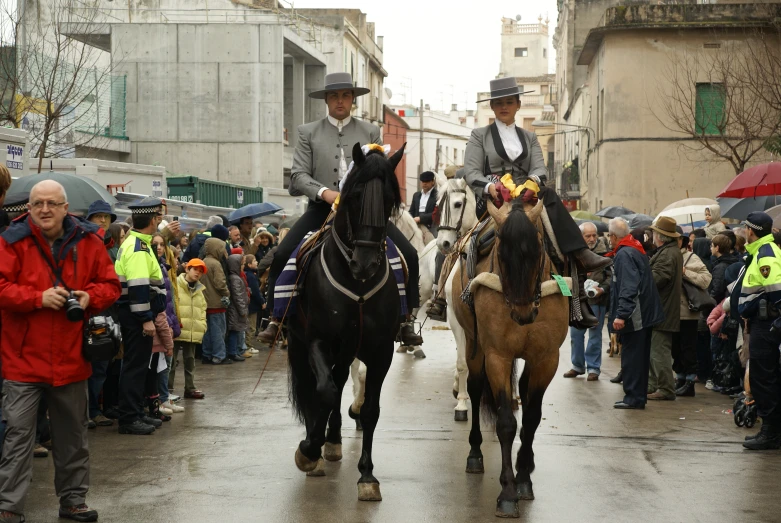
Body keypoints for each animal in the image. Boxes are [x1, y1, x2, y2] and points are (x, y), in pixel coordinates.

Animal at [290, 143, 406, 504]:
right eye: (354, 196)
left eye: (388, 199)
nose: (365, 264)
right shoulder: (319, 340)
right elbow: (324, 393)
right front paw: (308, 450)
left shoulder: (382, 351)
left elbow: (370, 410)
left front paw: (367, 476)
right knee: (324, 387)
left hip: (347, 351)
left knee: (340, 381)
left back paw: (333, 440)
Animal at [448, 198, 568, 520]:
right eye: (501, 253)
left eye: (538, 250)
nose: (523, 314)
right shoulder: (497, 357)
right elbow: (505, 423)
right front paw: (507, 492)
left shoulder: (546, 359)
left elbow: (532, 416)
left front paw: (524, 478)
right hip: (473, 345)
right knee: (476, 389)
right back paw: (475, 454)